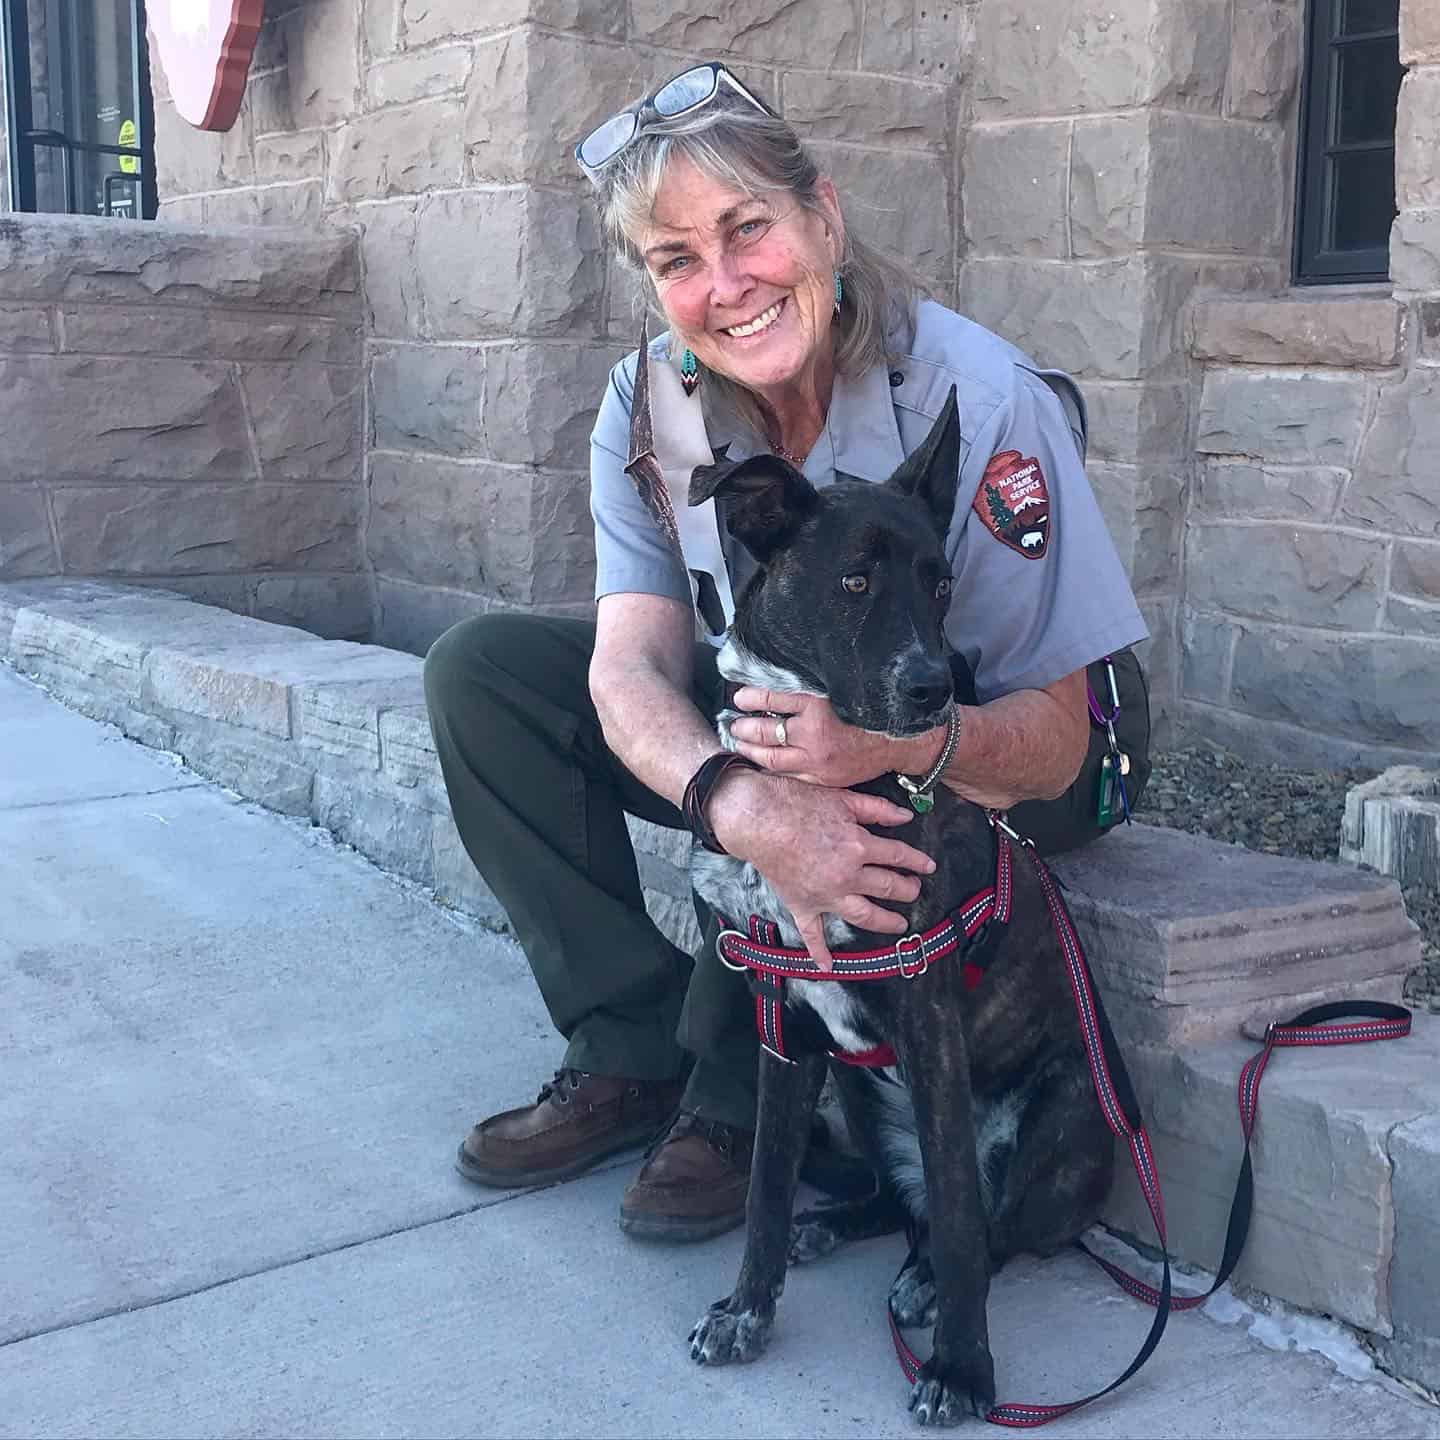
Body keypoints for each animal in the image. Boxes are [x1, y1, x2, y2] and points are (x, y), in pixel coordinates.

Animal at [685, 388, 1111, 1422]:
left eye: (943, 585)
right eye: (852, 583)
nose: (932, 689)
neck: (818, 786)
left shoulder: (930, 1025)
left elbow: (959, 1223)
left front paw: (961, 1370)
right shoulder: (784, 1027)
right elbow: (764, 1189)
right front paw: (746, 1311)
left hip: (1058, 1123)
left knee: (985, 1227)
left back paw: (923, 1283)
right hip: (856, 1087)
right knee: (898, 1199)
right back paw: (841, 1223)